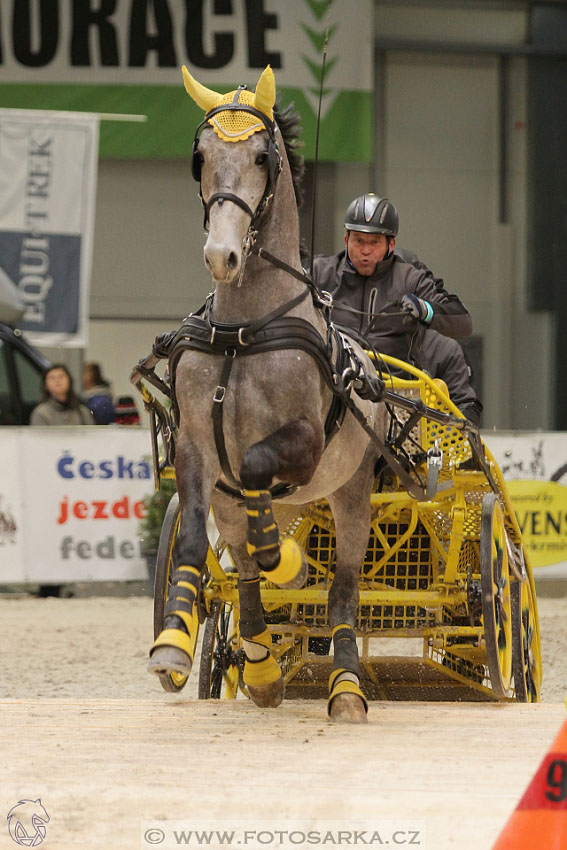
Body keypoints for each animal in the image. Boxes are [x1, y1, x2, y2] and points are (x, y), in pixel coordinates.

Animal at [146, 64, 388, 724]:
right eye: (200, 158)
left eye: (261, 157)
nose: (221, 256)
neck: (244, 332)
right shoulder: (197, 448)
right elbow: (194, 538)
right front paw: (173, 641)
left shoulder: (303, 443)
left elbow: (256, 463)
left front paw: (292, 564)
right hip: (245, 506)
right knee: (244, 575)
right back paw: (258, 667)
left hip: (351, 494)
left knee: (343, 590)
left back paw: (346, 686)